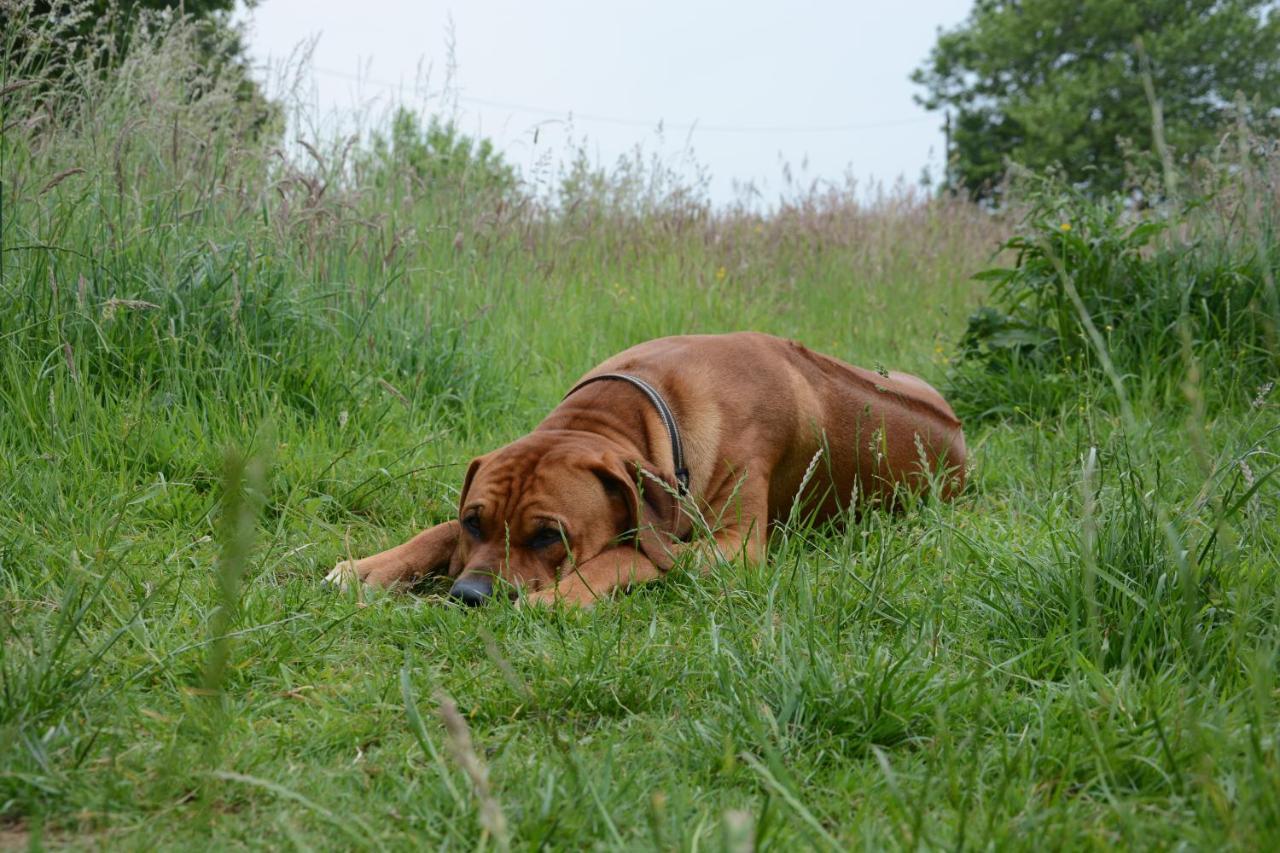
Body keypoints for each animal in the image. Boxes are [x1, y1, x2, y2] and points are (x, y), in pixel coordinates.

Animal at [325, 330, 962, 604]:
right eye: (473, 522)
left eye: (549, 536)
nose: (468, 595)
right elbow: (434, 530)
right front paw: (369, 567)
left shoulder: (734, 548)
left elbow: (630, 551)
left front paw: (561, 596)